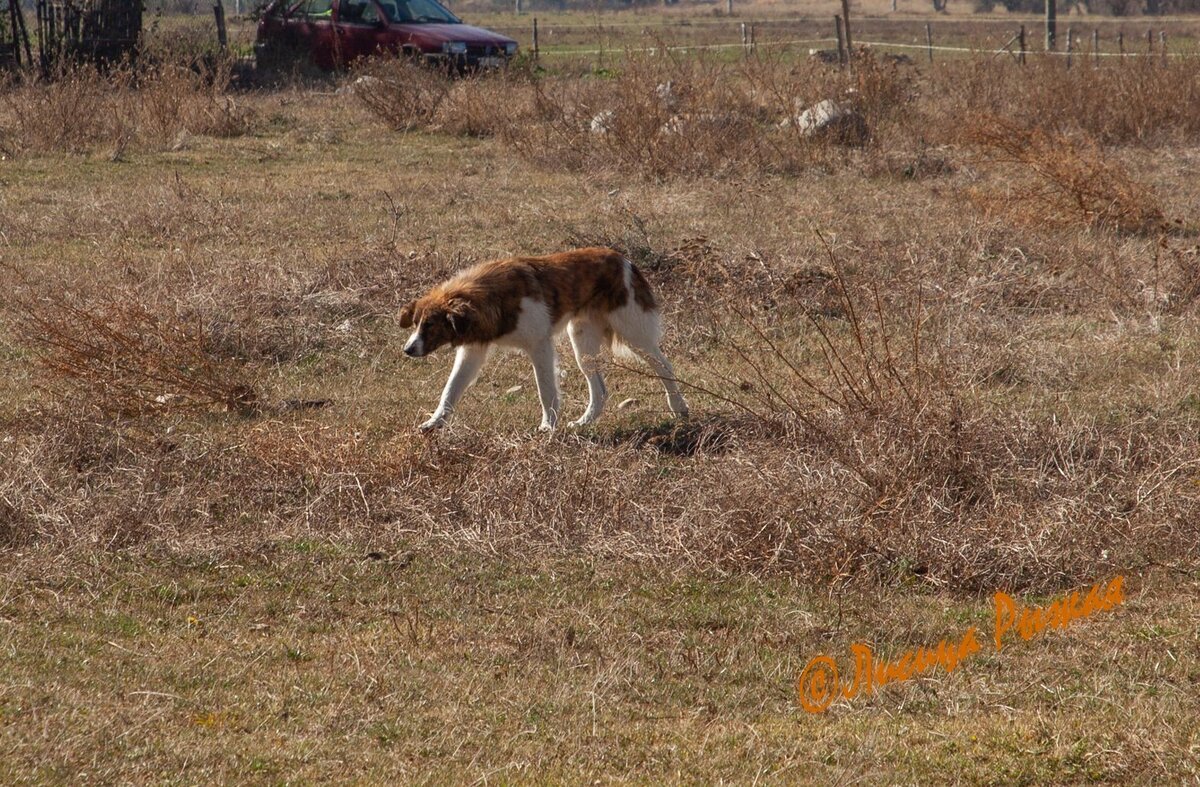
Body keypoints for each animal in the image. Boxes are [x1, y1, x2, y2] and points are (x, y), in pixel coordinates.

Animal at [400, 245, 691, 429]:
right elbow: (450, 390)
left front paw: (548, 427)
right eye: (415, 324)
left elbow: (546, 390)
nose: (408, 349)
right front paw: (435, 422)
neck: (494, 297)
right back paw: (584, 422)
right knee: (600, 390)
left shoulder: (539, 346)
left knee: (665, 367)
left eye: (430, 325)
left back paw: (679, 408)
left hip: (634, 335)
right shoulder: (472, 351)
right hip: (582, 344)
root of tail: (625, 262)